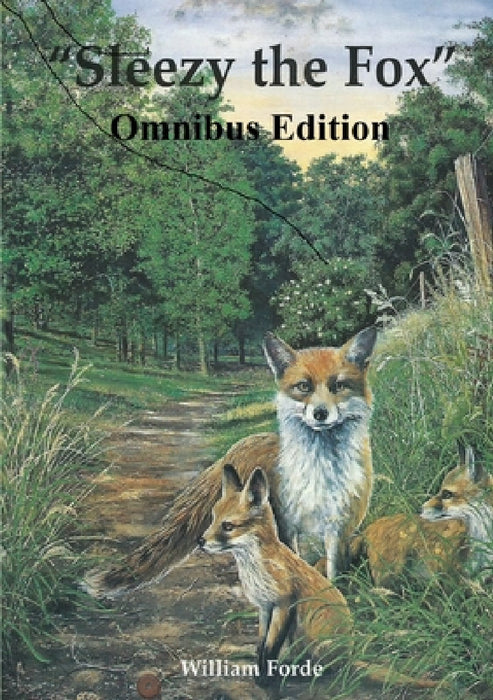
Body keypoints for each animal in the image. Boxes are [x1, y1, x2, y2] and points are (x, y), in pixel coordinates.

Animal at [84, 327, 377, 596]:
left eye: (338, 386)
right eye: (304, 387)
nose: (320, 413)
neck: (319, 470)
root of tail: (238, 446)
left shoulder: (339, 527)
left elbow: (334, 572)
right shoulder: (285, 525)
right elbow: (293, 565)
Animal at [199, 464, 440, 690]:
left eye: (228, 526)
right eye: (213, 518)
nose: (200, 542)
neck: (259, 566)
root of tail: (349, 654)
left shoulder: (283, 603)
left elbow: (270, 647)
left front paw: (265, 679)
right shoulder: (264, 607)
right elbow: (261, 645)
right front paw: (260, 671)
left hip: (314, 638)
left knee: (324, 669)